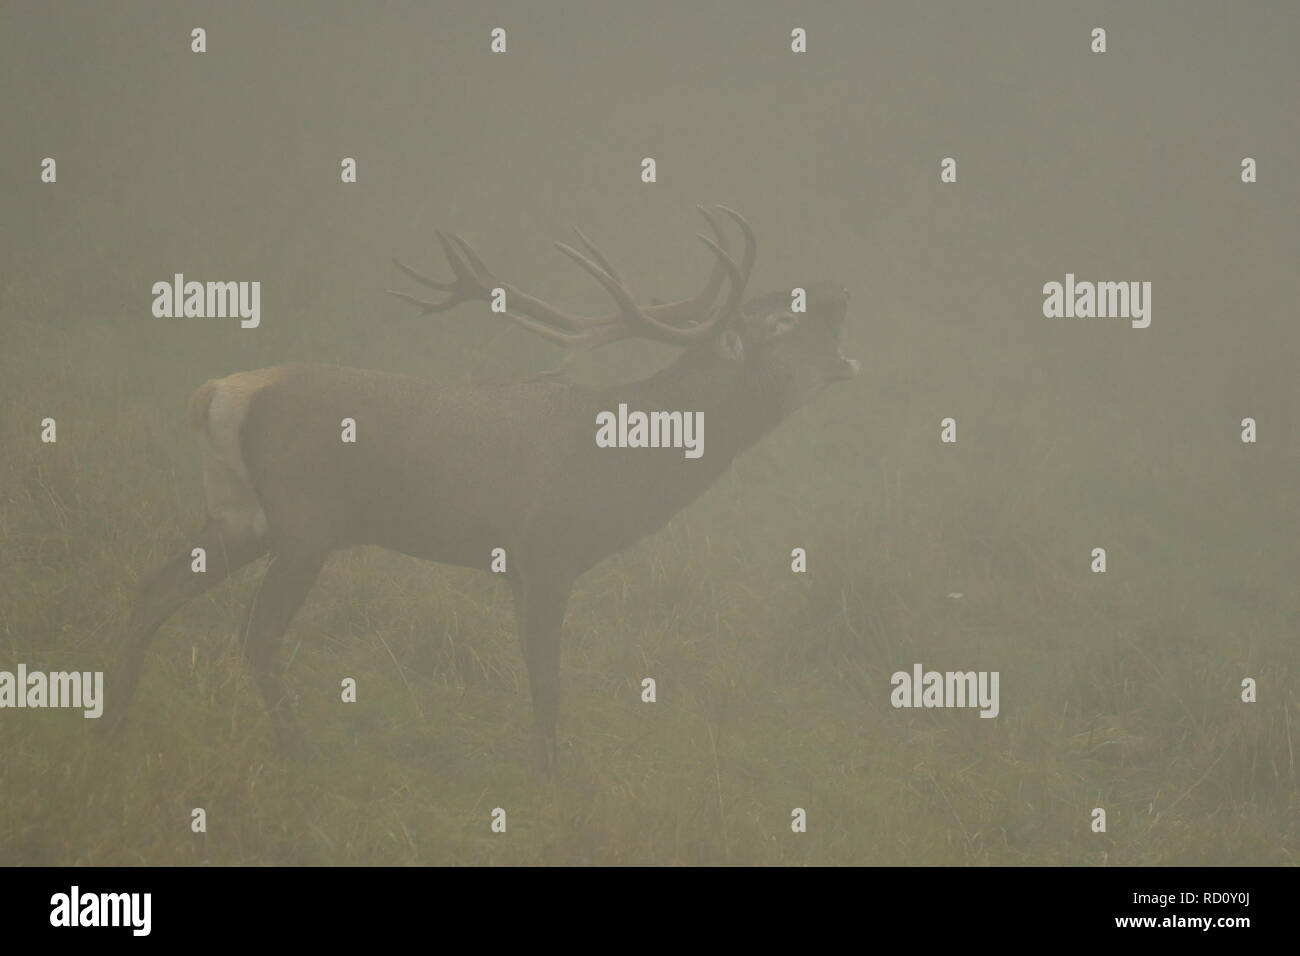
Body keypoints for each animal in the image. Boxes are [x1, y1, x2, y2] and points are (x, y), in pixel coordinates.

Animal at [106, 205, 857, 775]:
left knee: (151, 591)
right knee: (256, 634)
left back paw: (115, 724)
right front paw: (553, 780)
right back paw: (299, 750)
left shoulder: (520, 568)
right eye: (780, 320)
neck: (622, 467)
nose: (837, 291)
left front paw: (541, 766)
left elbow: (531, 672)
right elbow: (549, 680)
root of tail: (217, 394)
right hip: (305, 523)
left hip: (240, 517)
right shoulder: (547, 551)